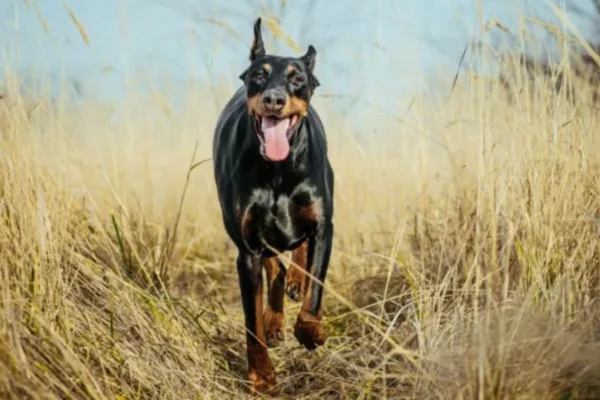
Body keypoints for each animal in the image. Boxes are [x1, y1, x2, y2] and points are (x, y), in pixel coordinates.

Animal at [211, 18, 332, 394]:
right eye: (259, 75)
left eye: (297, 78)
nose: (274, 99)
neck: (277, 172)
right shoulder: (247, 248)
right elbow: (253, 325)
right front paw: (262, 376)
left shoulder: (324, 227)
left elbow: (314, 291)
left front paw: (310, 333)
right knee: (274, 267)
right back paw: (276, 320)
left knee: (296, 258)